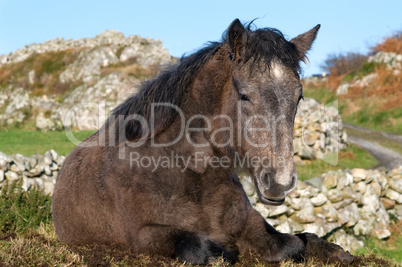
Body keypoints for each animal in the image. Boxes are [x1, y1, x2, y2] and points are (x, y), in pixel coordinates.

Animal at [51, 19, 354, 264]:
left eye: (299, 96)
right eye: (244, 95)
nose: (279, 181)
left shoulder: (252, 223)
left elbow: (293, 244)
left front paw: (336, 252)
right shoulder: (141, 235)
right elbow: (198, 247)